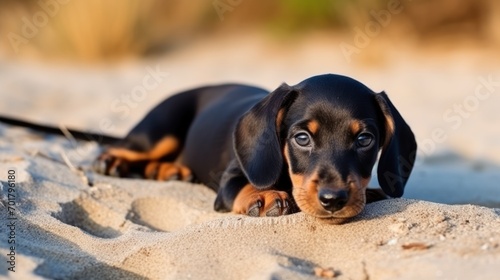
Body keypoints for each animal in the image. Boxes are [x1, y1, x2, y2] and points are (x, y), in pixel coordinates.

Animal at [91, 74, 418, 223]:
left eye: (365, 140)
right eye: (302, 138)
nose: (333, 200)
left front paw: (372, 193)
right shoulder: (228, 182)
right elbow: (246, 186)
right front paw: (264, 196)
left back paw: (169, 171)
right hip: (161, 131)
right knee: (126, 146)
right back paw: (111, 163)